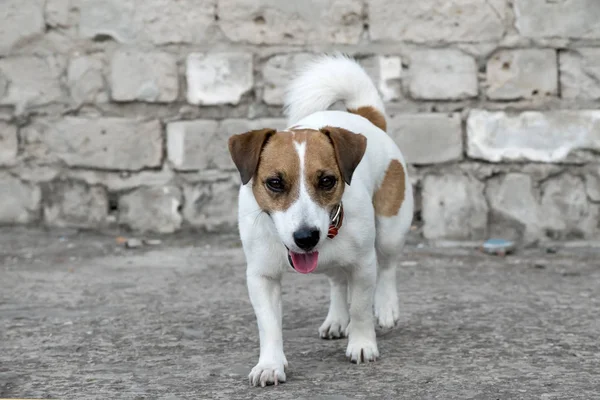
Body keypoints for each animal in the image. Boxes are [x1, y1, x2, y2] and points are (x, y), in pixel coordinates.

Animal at [229, 54, 412, 386]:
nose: (306, 238)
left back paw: (386, 308)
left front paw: (362, 343)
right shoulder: (262, 276)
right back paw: (337, 319)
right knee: (338, 281)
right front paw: (270, 365)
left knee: (388, 267)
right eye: (274, 183)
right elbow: (269, 325)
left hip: (391, 227)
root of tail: (368, 118)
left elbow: (361, 307)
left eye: (327, 181)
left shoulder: (364, 264)